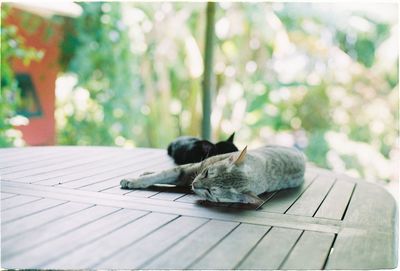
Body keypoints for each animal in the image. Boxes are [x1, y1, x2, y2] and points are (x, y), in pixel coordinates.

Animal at [120, 147, 304, 206]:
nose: (195, 185)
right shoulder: (192, 168)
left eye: (210, 192)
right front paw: (136, 179)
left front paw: (133, 180)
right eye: (208, 173)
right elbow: (162, 174)